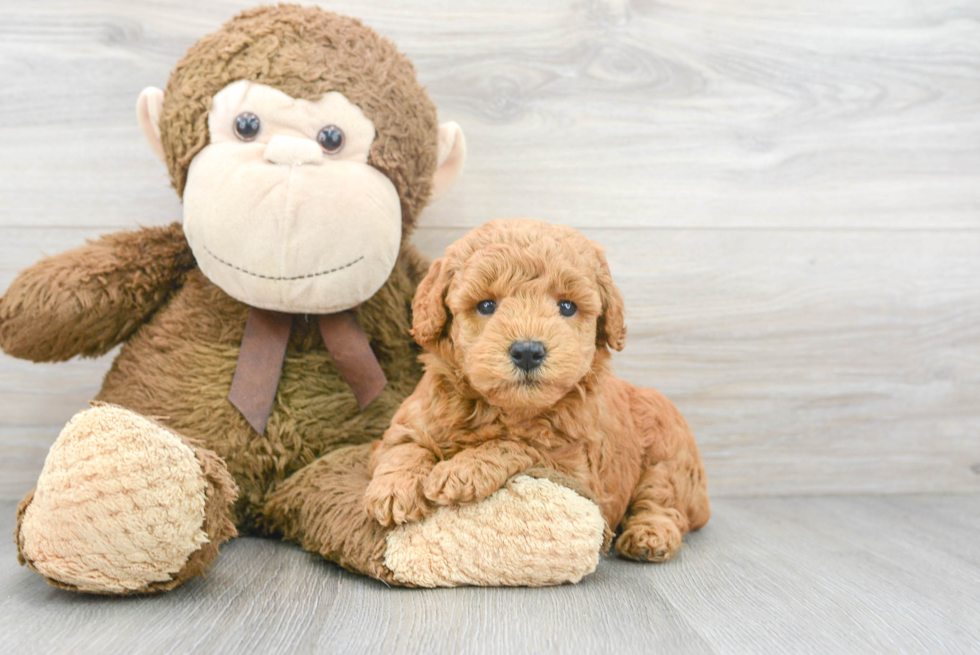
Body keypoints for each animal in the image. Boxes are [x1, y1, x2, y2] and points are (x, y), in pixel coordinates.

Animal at [364, 220, 708, 564]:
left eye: (567, 306)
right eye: (486, 305)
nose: (528, 351)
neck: (502, 409)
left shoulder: (577, 471)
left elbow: (517, 445)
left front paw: (462, 469)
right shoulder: (410, 421)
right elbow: (403, 447)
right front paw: (393, 490)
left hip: (667, 460)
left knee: (663, 502)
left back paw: (649, 536)